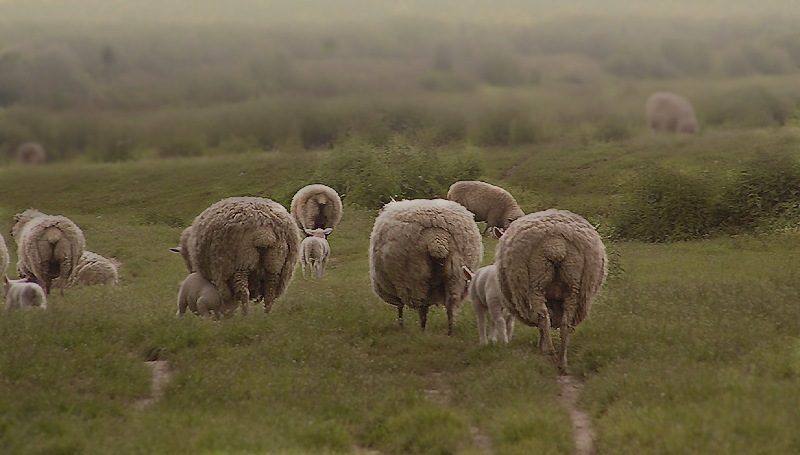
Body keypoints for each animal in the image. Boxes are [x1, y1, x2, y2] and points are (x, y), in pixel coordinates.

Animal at [368, 199, 482, 334]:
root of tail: (437, 239)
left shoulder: (396, 288)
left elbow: (400, 308)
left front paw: (401, 326)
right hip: (457, 276)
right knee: (450, 306)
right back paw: (449, 332)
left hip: (415, 277)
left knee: (422, 308)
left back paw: (422, 331)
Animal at [494, 210, 608, 374]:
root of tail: (556, 246)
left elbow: (541, 325)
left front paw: (541, 347)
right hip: (575, 286)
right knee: (565, 323)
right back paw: (562, 362)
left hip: (535, 284)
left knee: (543, 317)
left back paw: (549, 354)